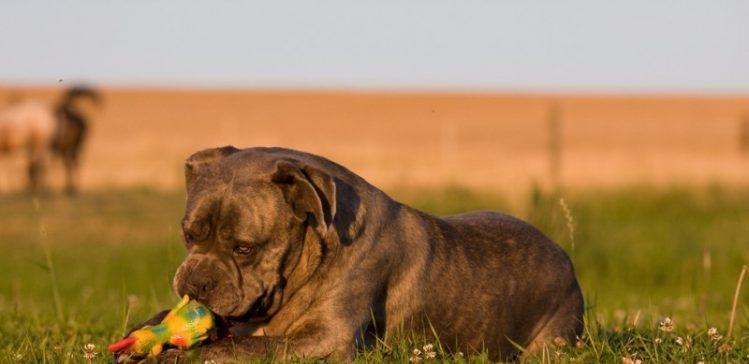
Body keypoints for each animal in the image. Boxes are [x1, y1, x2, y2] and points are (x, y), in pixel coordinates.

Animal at [118, 146, 584, 362]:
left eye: (244, 248)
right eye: (188, 236)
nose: (195, 282)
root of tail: (566, 259)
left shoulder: (328, 338)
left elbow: (244, 349)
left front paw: (179, 355)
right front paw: (143, 335)